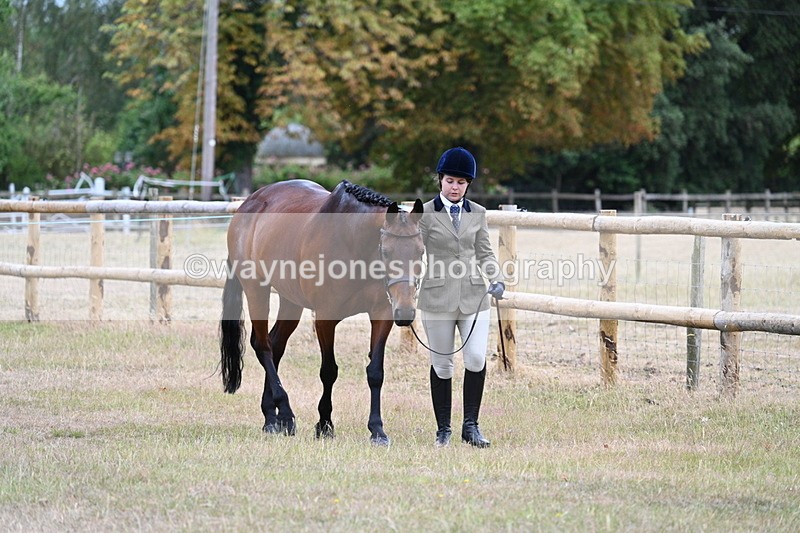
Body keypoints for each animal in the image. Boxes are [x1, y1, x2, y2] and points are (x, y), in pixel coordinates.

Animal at [220, 179, 424, 445]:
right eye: (387, 252)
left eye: (420, 251)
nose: (406, 310)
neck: (353, 243)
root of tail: (248, 204)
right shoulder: (326, 318)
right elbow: (329, 371)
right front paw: (324, 425)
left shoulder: (382, 315)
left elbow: (375, 372)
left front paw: (377, 430)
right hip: (256, 290)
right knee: (262, 345)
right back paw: (284, 415)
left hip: (290, 301)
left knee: (275, 345)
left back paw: (272, 417)